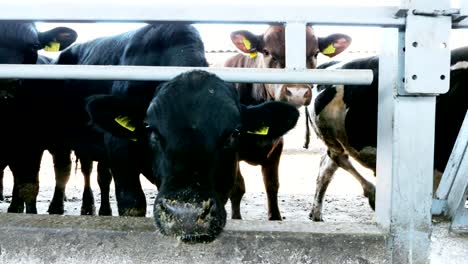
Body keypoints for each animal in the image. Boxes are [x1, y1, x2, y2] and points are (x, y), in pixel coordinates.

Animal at [0, 22, 77, 212]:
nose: (7, 81)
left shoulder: (32, 143)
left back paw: (56, 206)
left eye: (34, 46)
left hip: (60, 140)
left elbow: (29, 185)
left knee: (62, 169)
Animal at [224, 25, 352, 221]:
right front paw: (236, 218)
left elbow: (272, 185)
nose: (297, 92)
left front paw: (275, 217)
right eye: (267, 51)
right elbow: (237, 188)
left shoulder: (277, 145)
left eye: (315, 53)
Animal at [310, 51, 468, 221]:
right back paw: (372, 195)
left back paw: (316, 213)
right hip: (329, 134)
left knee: (327, 166)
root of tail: (331, 64)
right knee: (338, 158)